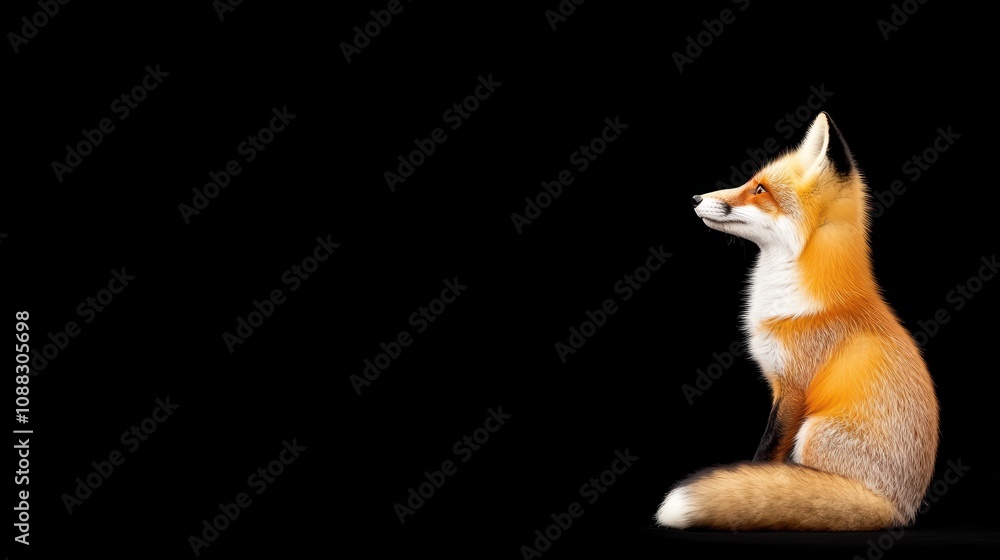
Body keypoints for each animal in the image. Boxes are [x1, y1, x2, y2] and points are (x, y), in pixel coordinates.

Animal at [655, 112, 939, 531]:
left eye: (759, 189)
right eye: (751, 182)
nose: (695, 199)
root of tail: (897, 511)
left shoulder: (793, 387)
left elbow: (768, 451)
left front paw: (755, 478)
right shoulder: (777, 384)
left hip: (814, 431)